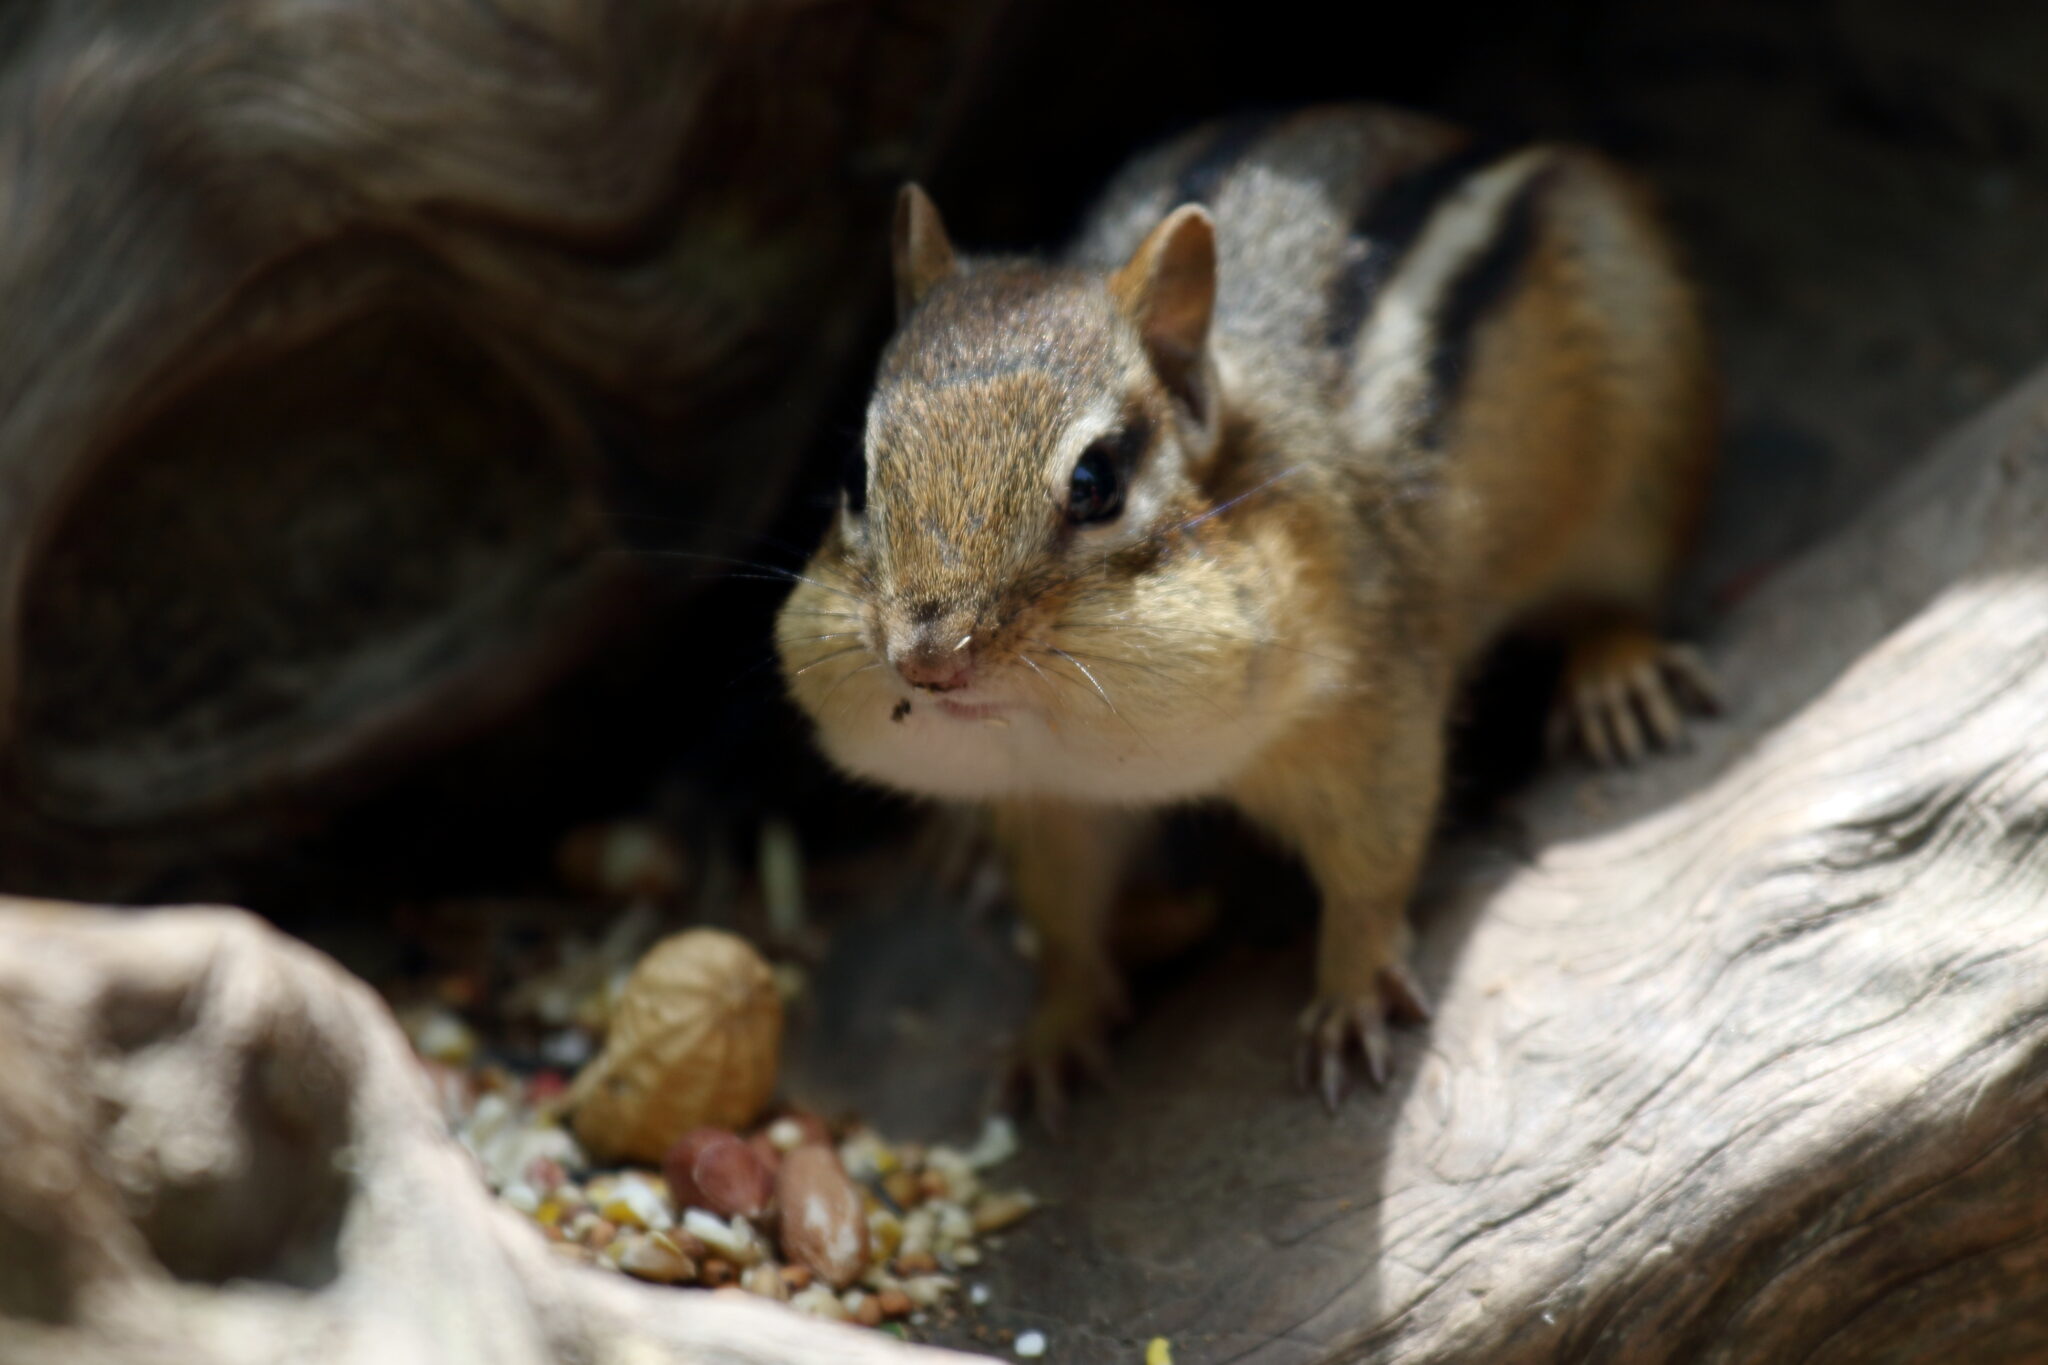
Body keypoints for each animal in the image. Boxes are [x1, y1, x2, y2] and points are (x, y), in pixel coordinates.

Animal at [775, 104, 1719, 1120]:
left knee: (1617, 591)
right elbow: (1062, 915)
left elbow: (1374, 861)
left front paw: (1350, 994)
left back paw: (1617, 675)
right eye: (855, 476)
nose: (929, 658)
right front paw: (1054, 1031)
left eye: (1095, 481)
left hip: (1642, 436)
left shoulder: (1372, 701)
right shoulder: (1053, 798)